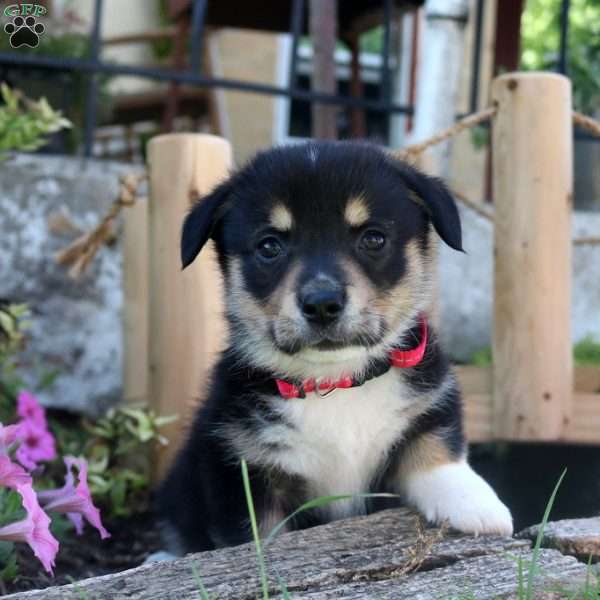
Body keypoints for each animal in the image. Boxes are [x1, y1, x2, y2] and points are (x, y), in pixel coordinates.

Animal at [157, 141, 512, 552]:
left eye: (373, 238)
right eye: (269, 246)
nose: (322, 303)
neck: (335, 381)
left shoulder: (426, 412)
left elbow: (437, 453)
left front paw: (476, 507)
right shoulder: (243, 470)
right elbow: (257, 540)